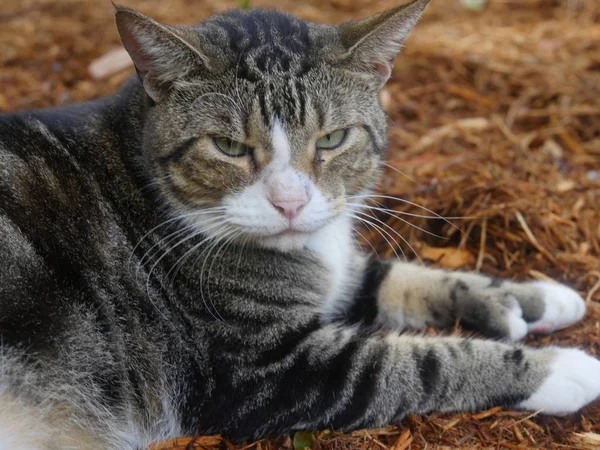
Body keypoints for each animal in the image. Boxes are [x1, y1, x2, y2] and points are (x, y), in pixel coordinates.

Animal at [1, 0, 600, 450]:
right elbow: (419, 363)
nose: (290, 202)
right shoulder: (264, 372)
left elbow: (401, 278)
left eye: (333, 138)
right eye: (229, 147)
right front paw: (564, 369)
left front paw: (534, 299)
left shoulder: (341, 269)